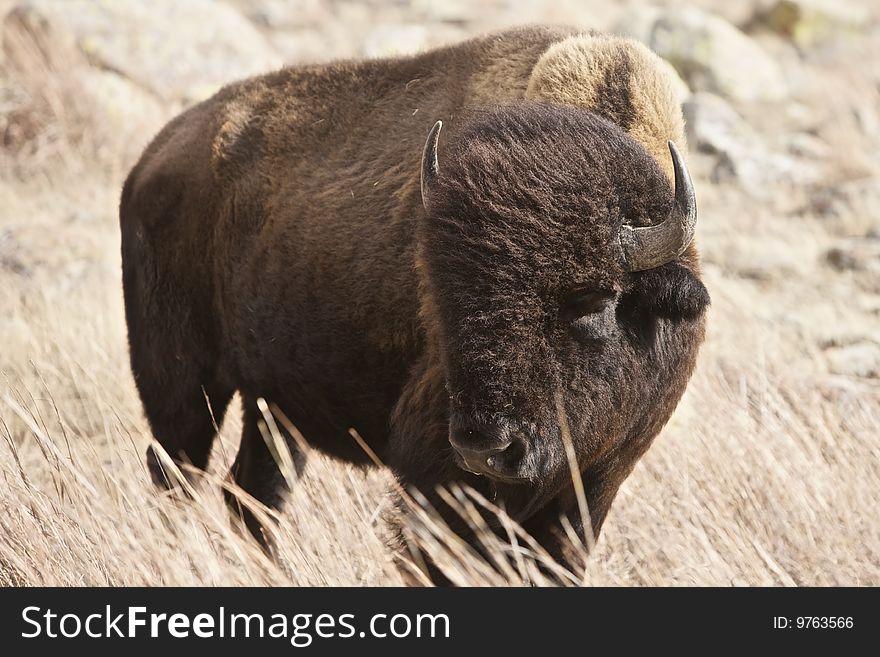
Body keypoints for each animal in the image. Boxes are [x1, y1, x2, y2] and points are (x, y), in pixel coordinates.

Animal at [118, 25, 708, 576]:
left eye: (592, 302)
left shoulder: (594, 483)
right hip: (184, 385)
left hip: (272, 408)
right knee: (178, 475)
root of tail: (151, 162)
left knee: (250, 496)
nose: (488, 448)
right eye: (443, 294)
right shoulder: (435, 474)